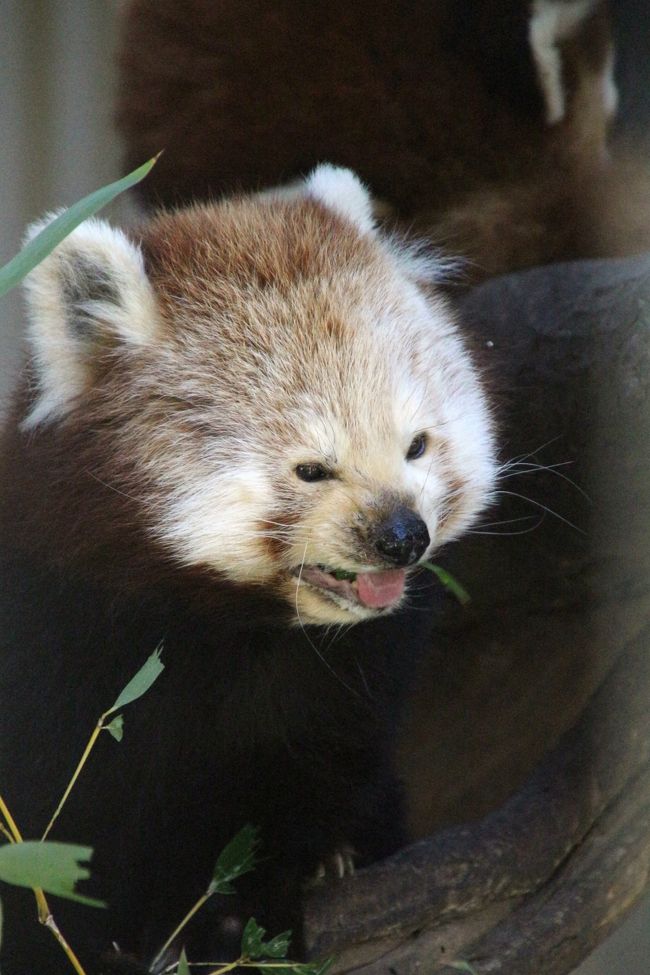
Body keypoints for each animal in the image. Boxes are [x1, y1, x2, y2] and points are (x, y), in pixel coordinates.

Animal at [0, 166, 494, 968]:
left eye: (417, 446)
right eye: (312, 469)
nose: (403, 537)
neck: (233, 625)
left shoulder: (345, 683)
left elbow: (294, 791)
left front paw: (251, 905)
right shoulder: (52, 632)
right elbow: (56, 822)